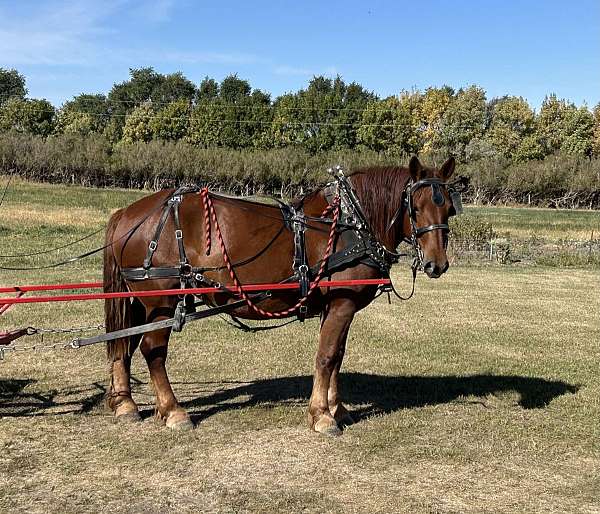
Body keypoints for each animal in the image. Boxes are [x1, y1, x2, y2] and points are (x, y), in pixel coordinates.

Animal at [105, 155, 458, 432]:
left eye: (449, 210)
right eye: (415, 207)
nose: (436, 264)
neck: (349, 223)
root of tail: (127, 213)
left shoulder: (334, 306)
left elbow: (337, 356)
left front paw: (337, 408)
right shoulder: (342, 303)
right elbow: (327, 356)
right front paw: (322, 416)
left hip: (140, 303)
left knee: (124, 344)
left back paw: (125, 405)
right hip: (160, 300)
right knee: (152, 350)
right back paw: (173, 411)